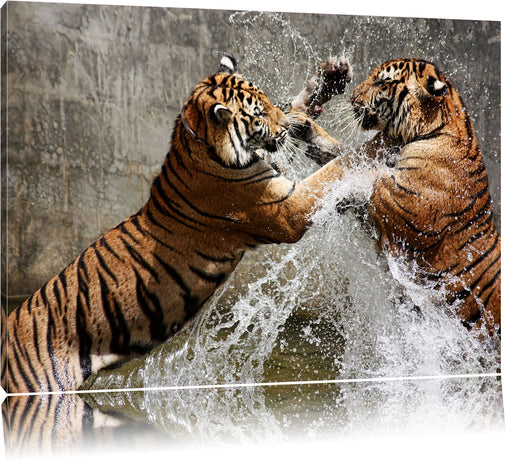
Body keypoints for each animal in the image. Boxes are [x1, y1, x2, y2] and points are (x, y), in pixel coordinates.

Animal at [2, 54, 352, 394]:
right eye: (260, 114)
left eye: (267, 102)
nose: (284, 127)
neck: (199, 143)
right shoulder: (287, 208)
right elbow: (335, 169)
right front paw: (363, 150)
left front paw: (327, 81)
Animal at [296, 57, 500, 340]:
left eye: (382, 81)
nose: (352, 98)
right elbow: (351, 156)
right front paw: (305, 127)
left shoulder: (406, 209)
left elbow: (363, 173)